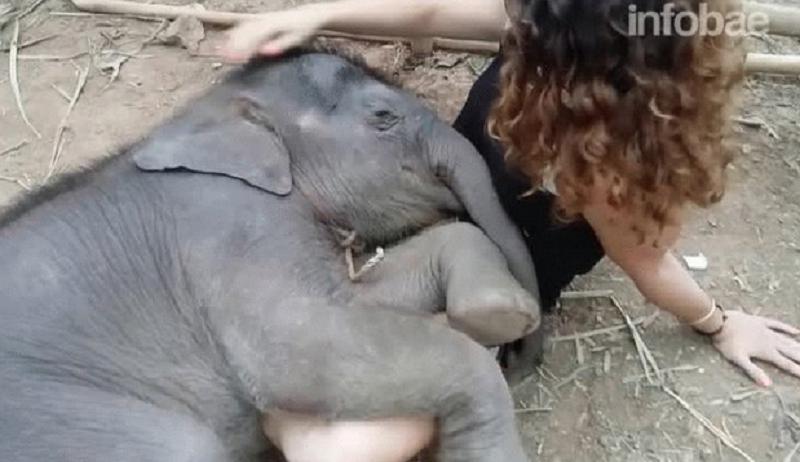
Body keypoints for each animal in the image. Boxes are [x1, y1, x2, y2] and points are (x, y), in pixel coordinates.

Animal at [0, 49, 541, 462]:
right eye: (383, 117)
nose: (523, 358)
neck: (205, 112)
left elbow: (362, 296)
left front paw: (496, 313)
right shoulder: (230, 228)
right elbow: (294, 351)